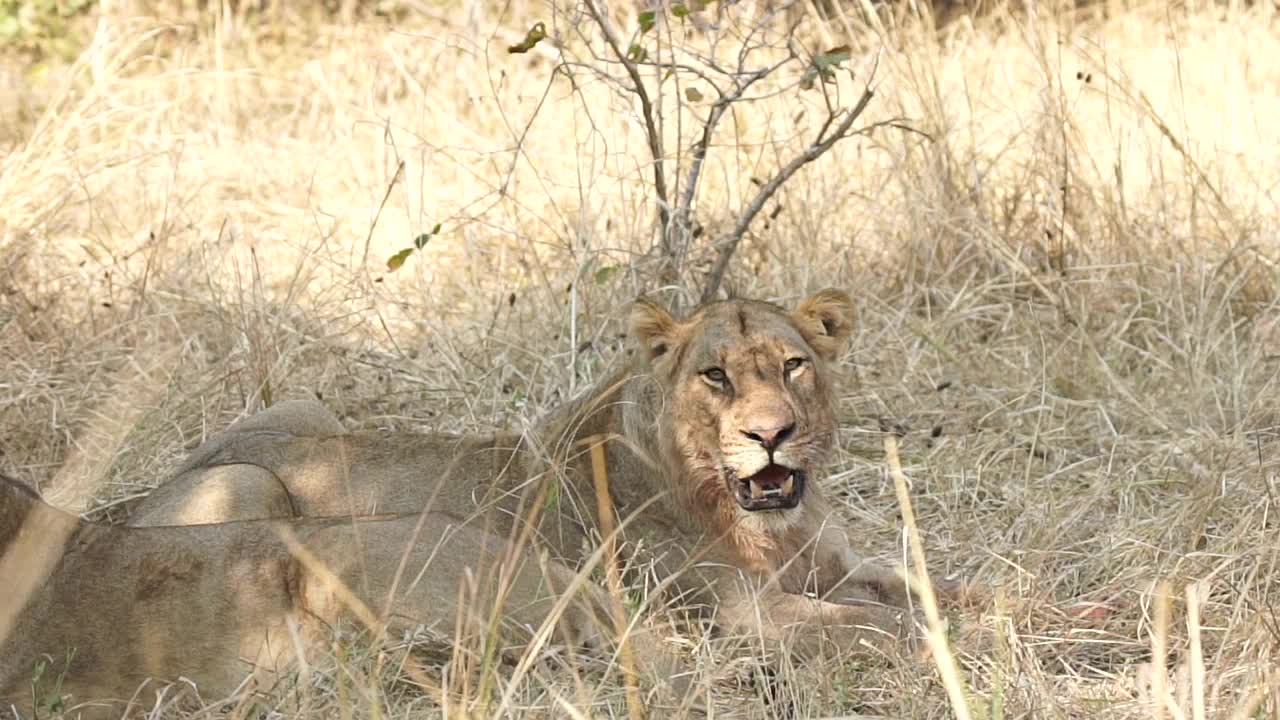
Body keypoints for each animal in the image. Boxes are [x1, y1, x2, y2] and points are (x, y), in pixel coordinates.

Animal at [135, 286, 947, 661]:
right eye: (714, 376)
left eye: (792, 365)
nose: (771, 435)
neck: (776, 528)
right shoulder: (742, 616)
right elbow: (887, 624)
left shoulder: (839, 567)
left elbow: (930, 590)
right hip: (249, 486)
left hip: (306, 405)